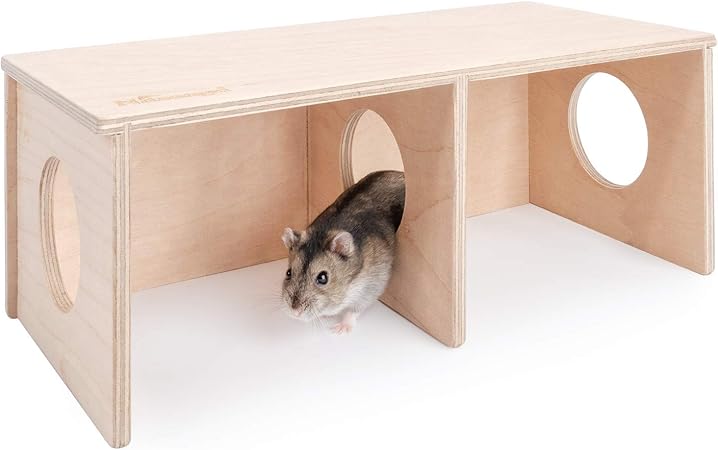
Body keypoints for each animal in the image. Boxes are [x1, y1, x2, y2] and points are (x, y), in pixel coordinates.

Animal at [280, 170, 405, 334]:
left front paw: (339, 329)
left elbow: (354, 310)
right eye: (288, 273)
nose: (295, 312)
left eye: (323, 278)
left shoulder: (372, 284)